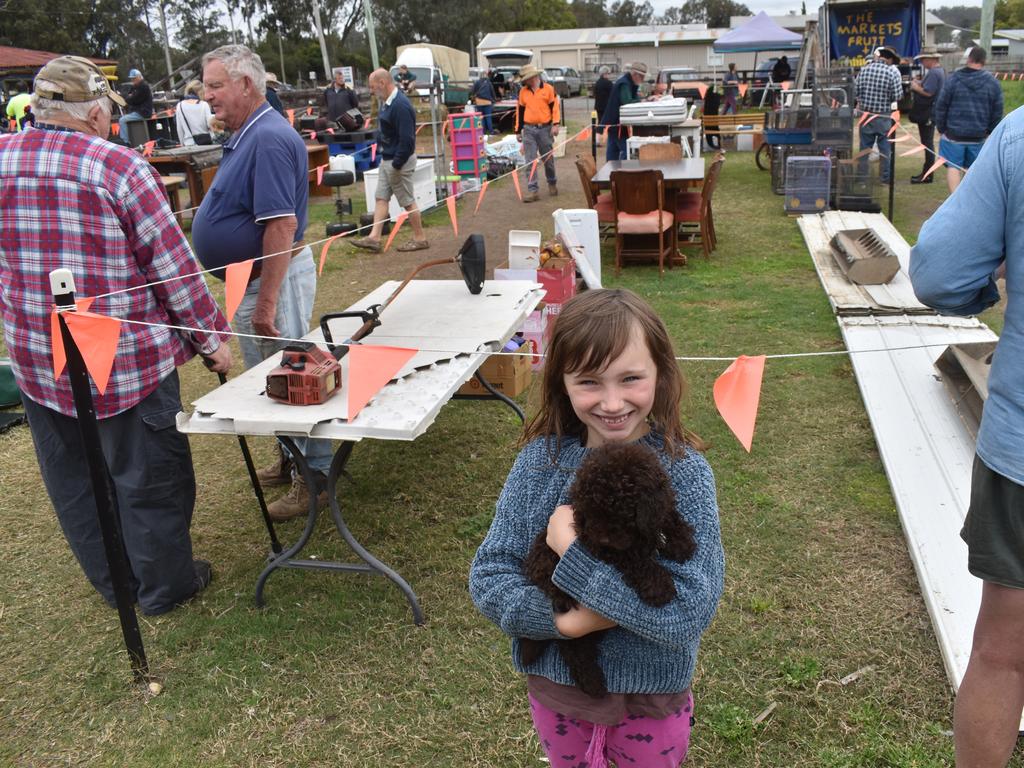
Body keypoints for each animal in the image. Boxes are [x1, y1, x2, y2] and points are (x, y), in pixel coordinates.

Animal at [520, 438, 696, 696]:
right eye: (592, 511)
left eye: (624, 510)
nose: (603, 538)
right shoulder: (597, 545)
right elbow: (635, 559)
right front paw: (659, 586)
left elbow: (666, 515)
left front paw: (682, 541)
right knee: (571, 647)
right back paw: (593, 683)